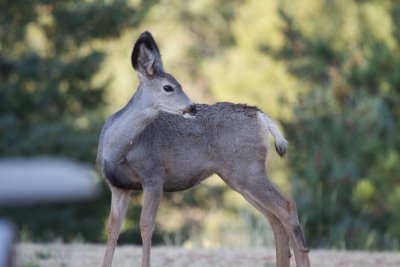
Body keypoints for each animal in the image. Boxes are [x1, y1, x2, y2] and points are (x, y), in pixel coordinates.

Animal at [96, 31, 310, 267]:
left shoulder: (154, 175)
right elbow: (112, 228)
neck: (118, 149)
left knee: (287, 207)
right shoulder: (117, 185)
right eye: (168, 87)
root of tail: (260, 116)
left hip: (247, 169)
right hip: (237, 177)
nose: (192, 107)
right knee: (274, 218)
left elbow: (146, 225)